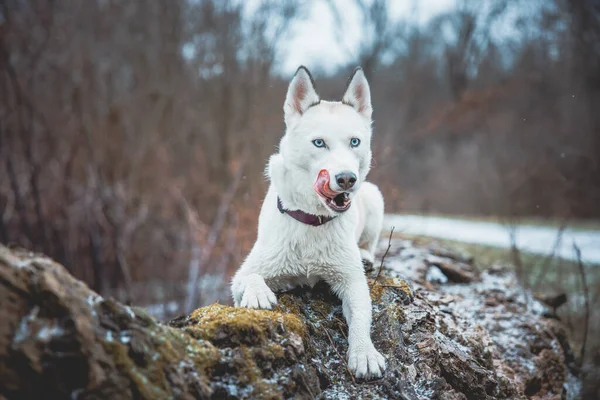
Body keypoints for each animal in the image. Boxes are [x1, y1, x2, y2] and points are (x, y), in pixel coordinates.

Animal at [232, 65, 386, 378]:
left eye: (355, 142)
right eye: (319, 143)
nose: (347, 179)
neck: (312, 221)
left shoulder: (352, 281)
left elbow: (361, 316)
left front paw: (364, 352)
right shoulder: (241, 275)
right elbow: (249, 277)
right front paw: (258, 293)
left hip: (374, 196)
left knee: (369, 244)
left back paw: (366, 256)